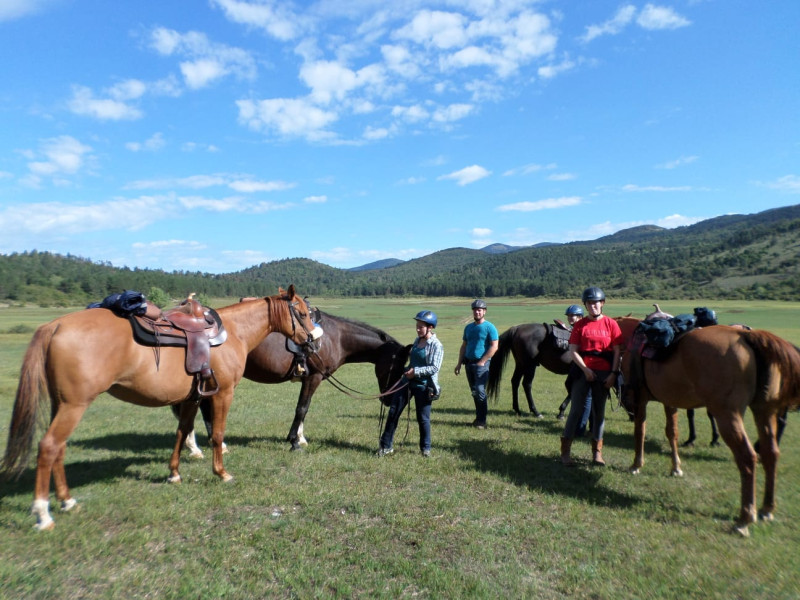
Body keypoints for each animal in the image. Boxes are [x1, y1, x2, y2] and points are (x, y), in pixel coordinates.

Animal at [3, 286, 322, 528]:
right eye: (302, 313)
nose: (314, 342)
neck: (233, 333)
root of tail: (55, 325)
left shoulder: (192, 398)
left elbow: (182, 433)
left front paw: (174, 473)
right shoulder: (222, 395)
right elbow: (217, 434)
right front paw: (221, 473)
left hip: (61, 405)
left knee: (59, 448)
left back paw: (67, 501)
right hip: (73, 406)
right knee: (48, 447)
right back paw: (43, 513)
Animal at [176, 310, 412, 450]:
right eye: (396, 366)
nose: (389, 399)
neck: (335, 337)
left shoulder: (308, 379)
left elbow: (303, 409)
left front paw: (300, 438)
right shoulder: (314, 378)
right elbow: (302, 408)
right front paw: (293, 441)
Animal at [620, 318, 800, 536]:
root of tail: (747, 336)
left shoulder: (640, 398)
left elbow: (640, 431)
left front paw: (636, 465)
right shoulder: (669, 400)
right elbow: (672, 433)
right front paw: (676, 467)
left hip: (727, 416)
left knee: (748, 457)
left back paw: (744, 519)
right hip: (764, 412)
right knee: (770, 453)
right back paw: (766, 508)